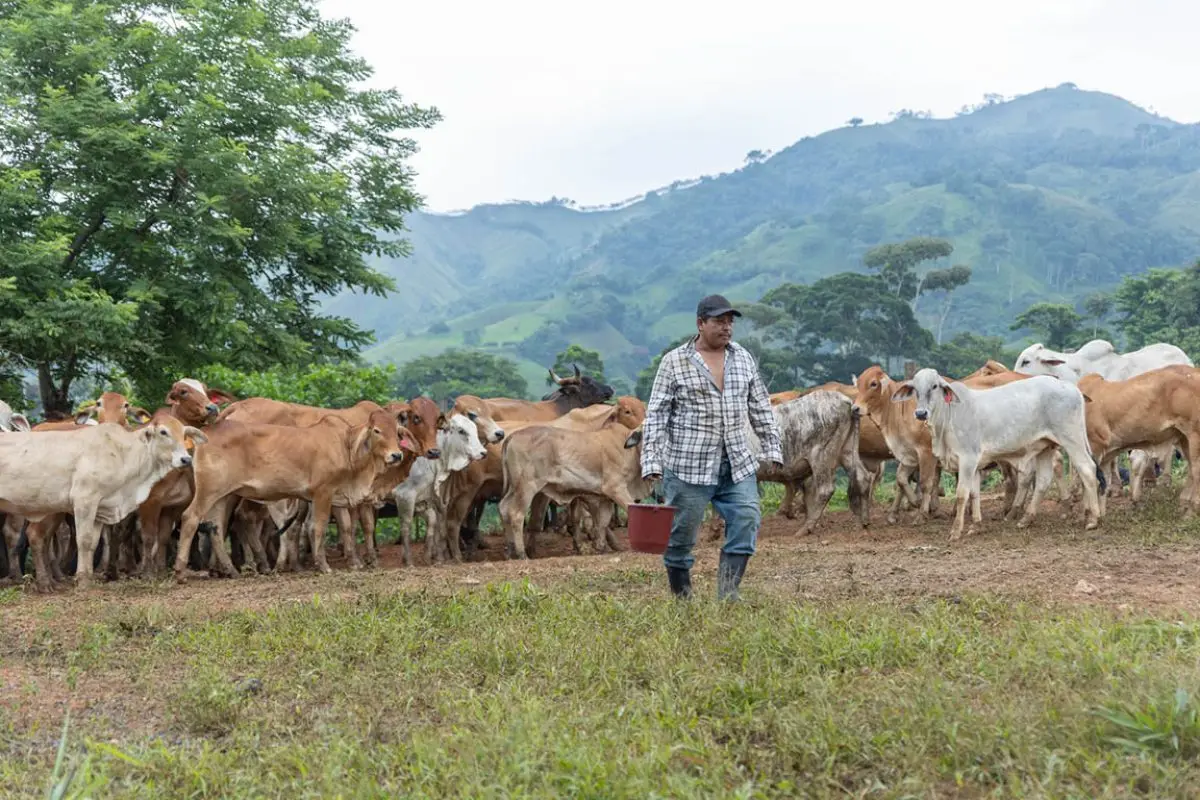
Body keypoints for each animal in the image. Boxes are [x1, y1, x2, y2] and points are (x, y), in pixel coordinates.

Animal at [0, 417, 204, 585]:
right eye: (163, 432)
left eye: (184, 434)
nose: (185, 459)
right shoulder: (85, 500)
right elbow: (84, 540)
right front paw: (82, 580)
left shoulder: (101, 508)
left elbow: (93, 543)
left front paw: (89, 578)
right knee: (33, 536)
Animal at [393, 417, 487, 566]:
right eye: (461, 431)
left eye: (475, 429)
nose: (483, 452)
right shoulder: (405, 495)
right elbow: (406, 527)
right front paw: (408, 562)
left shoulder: (428, 501)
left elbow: (436, 526)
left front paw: (434, 558)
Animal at [888, 371, 1099, 542]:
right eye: (915, 389)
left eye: (934, 386)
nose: (920, 413)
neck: (950, 416)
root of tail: (1071, 387)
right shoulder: (974, 465)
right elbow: (974, 494)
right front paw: (976, 525)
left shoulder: (967, 460)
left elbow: (962, 494)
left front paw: (956, 531)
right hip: (1044, 447)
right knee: (1044, 481)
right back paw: (1026, 519)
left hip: (1072, 439)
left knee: (1088, 470)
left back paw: (1092, 518)